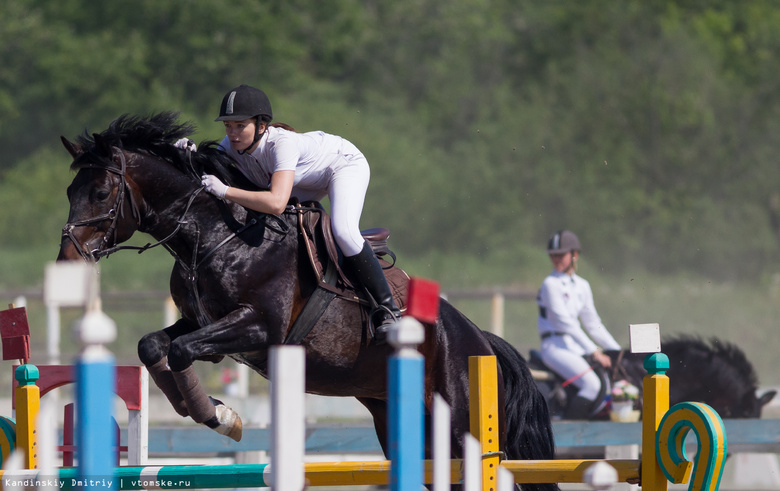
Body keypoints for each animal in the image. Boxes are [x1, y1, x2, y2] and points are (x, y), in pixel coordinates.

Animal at [59, 112, 560, 491]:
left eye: (100, 193)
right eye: (69, 191)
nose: (67, 261)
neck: (216, 236)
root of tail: (481, 341)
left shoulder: (257, 327)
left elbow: (182, 350)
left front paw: (220, 416)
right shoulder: (199, 322)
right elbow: (153, 345)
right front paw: (202, 409)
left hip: (458, 424)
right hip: (398, 420)